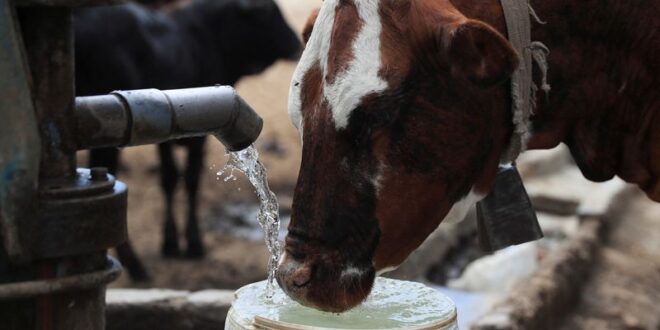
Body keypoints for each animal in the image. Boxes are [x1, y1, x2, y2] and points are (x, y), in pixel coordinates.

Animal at [75, 0, 300, 282]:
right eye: (268, 14)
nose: (296, 43)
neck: (210, 36)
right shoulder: (197, 139)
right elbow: (190, 179)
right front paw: (192, 243)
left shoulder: (165, 141)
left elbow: (170, 179)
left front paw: (171, 242)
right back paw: (135, 265)